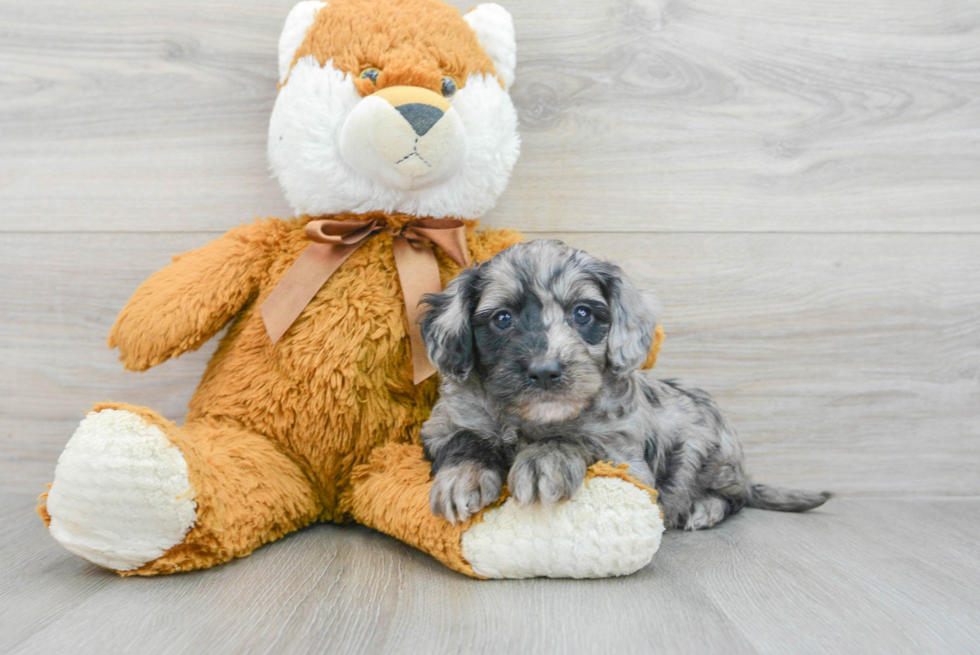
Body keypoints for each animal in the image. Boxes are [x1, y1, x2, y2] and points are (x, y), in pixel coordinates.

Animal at [418, 238, 832, 532]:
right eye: (503, 318)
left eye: (582, 313)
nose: (545, 371)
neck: (532, 420)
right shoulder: (443, 426)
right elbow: (466, 438)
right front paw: (462, 478)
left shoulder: (626, 458)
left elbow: (578, 439)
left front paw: (544, 459)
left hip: (715, 459)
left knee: (737, 497)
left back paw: (704, 508)